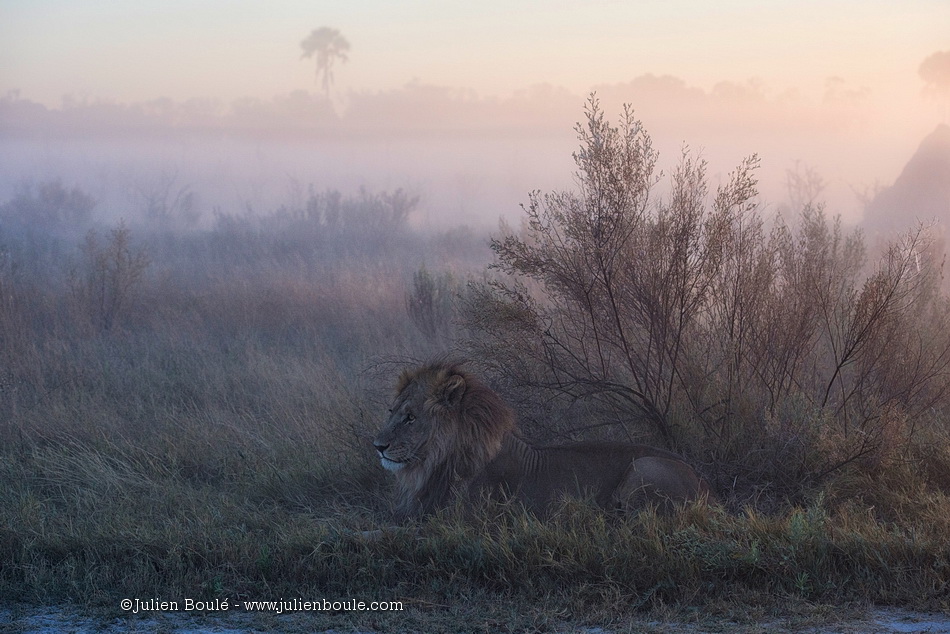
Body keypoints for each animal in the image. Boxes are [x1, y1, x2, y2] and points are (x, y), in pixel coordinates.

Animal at [372, 358, 712, 516]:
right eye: (391, 411)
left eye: (411, 417)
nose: (378, 446)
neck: (438, 461)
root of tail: (706, 483)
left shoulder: (455, 521)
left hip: (644, 467)